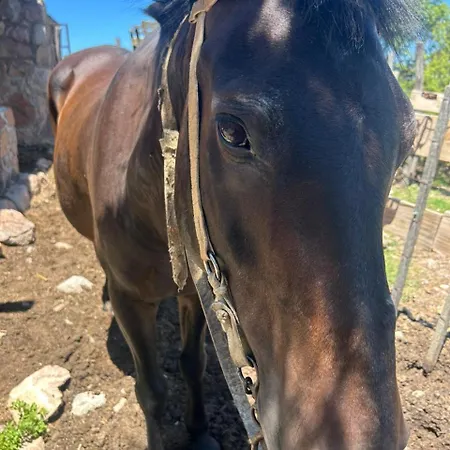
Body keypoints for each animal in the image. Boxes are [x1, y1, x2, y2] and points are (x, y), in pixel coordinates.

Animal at [48, 0, 420, 448]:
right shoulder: (130, 300)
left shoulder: (198, 290)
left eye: (408, 142)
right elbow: (152, 390)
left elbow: (193, 361)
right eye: (231, 131)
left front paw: (199, 433)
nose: (356, 435)